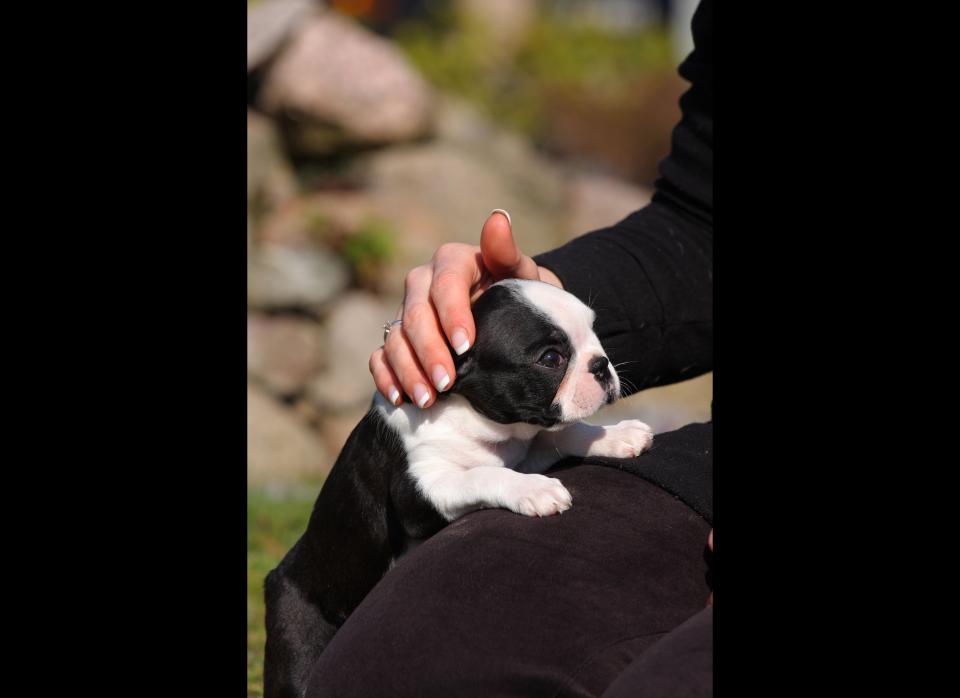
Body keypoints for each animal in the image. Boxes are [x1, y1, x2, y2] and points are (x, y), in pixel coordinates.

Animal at [262, 278, 652, 696]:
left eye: (596, 332)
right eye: (551, 358)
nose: (602, 364)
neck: (476, 417)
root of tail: (279, 572)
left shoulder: (525, 447)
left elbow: (562, 434)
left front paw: (615, 436)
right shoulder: (421, 490)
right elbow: (485, 474)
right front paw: (534, 491)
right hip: (297, 632)